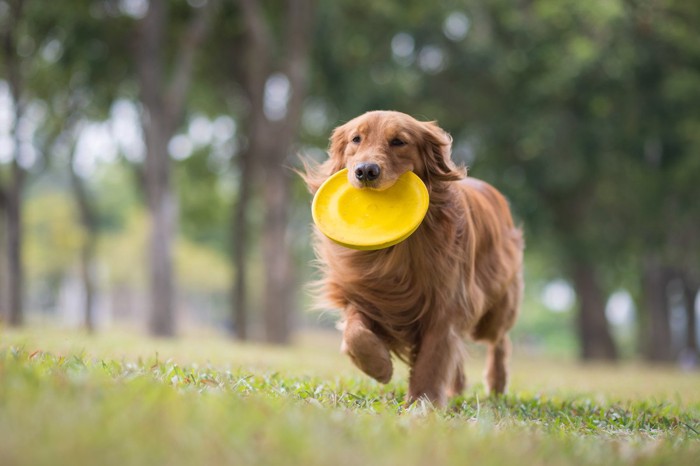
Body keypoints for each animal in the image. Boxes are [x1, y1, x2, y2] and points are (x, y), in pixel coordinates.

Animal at [302, 111, 524, 406]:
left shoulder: (446, 302)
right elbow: (355, 332)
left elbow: (433, 358)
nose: (365, 171)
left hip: (494, 309)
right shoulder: (365, 293)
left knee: (499, 340)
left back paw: (496, 384)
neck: (397, 250)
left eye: (399, 141)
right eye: (356, 139)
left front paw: (423, 402)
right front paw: (379, 366)